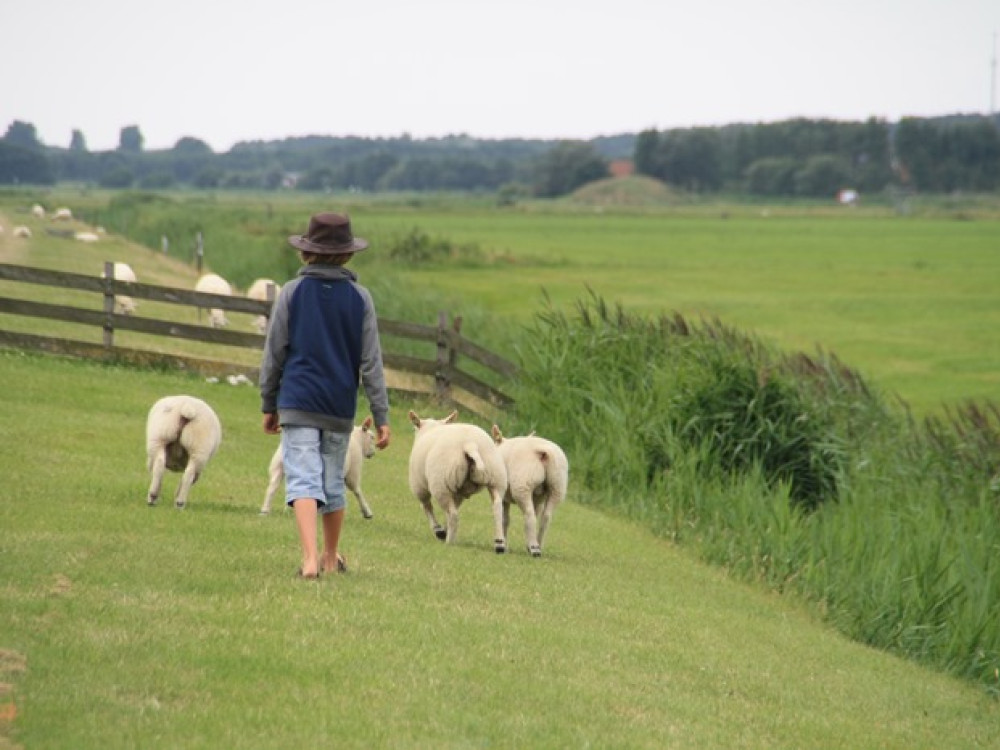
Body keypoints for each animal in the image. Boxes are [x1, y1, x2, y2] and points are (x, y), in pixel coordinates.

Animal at [408, 412, 512, 552]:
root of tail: (470, 444)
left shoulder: (419, 487)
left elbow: (427, 507)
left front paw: (439, 531)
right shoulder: (458, 492)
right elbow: (450, 508)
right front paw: (445, 529)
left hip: (440, 484)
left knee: (453, 514)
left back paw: (449, 542)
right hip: (497, 477)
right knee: (497, 507)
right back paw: (499, 544)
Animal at [492, 426, 572, 556]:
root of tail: (545, 452)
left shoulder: (505, 496)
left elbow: (505, 520)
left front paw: (504, 543)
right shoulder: (538, 499)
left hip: (523, 484)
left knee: (529, 515)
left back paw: (534, 548)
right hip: (557, 486)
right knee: (546, 517)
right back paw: (537, 544)